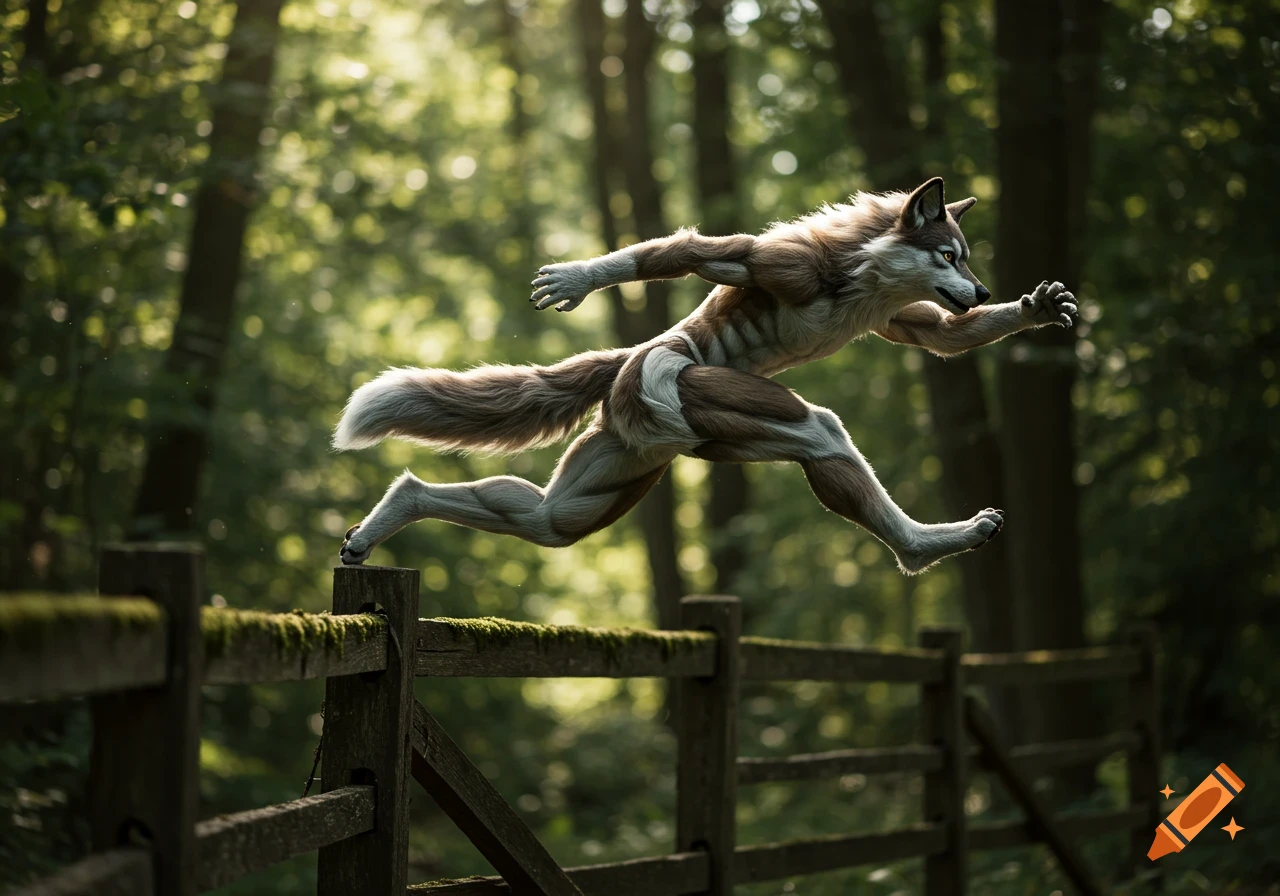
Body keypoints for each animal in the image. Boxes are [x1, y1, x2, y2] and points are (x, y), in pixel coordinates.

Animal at [333, 177, 1077, 574]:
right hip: (708, 404)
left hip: (604, 481)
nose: (982, 291)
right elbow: (692, 251)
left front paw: (1037, 307)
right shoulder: (775, 265)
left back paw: (383, 519)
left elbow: (947, 336)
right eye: (949, 254)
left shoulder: (908, 322)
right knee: (821, 431)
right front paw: (579, 277)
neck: (859, 281)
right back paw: (929, 545)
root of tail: (625, 363)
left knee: (536, 516)